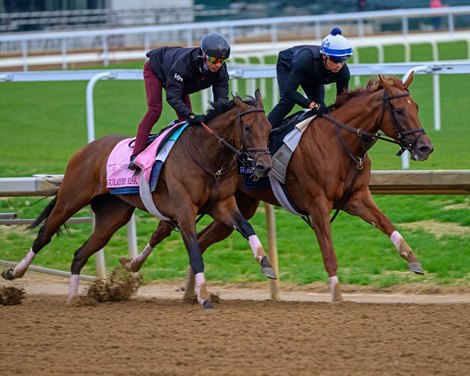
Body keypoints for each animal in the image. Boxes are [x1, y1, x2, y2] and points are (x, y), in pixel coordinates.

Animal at [1, 91, 276, 308]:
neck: (205, 155)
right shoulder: (184, 210)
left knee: (80, 253)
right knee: (43, 235)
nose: (264, 166)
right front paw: (204, 297)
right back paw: (15, 272)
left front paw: (266, 263)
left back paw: (72, 299)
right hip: (70, 200)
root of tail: (84, 149)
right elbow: (195, 252)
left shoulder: (223, 204)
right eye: (248, 128)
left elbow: (247, 227)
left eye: (268, 128)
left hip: (112, 217)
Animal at [124, 73, 434, 302]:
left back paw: (190, 292)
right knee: (168, 232)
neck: (340, 142)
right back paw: (134, 267)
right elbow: (329, 252)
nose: (425, 147)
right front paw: (336, 295)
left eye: (417, 107)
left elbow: (386, 223)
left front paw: (413, 260)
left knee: (199, 240)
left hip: (236, 206)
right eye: (398, 110)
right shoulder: (317, 205)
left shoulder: (356, 197)